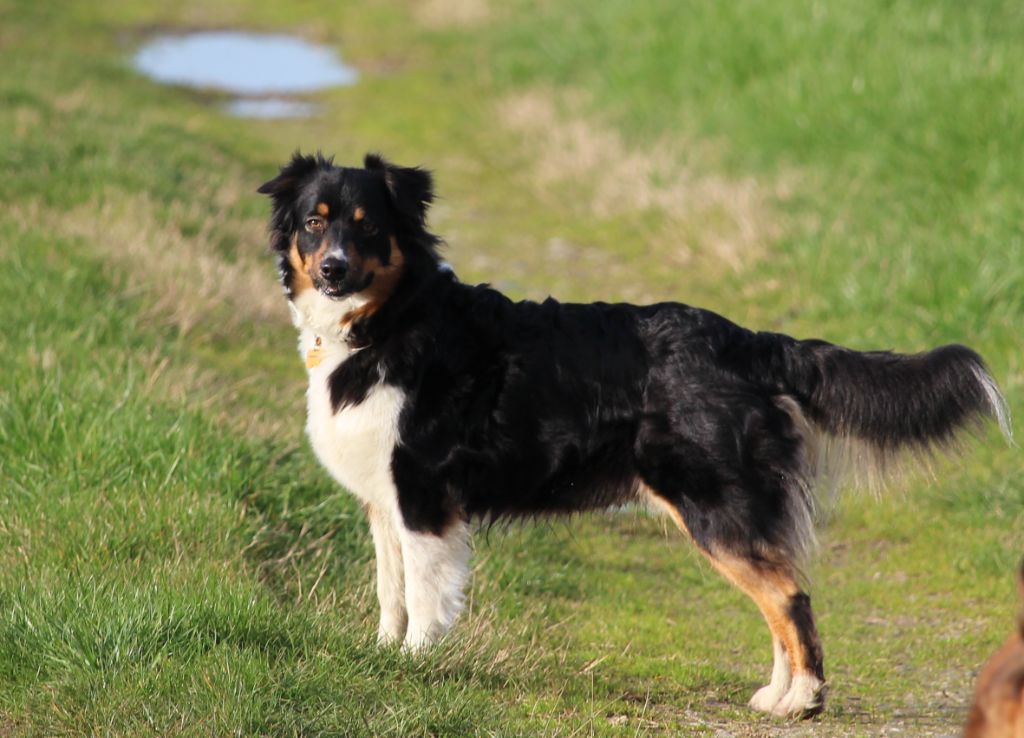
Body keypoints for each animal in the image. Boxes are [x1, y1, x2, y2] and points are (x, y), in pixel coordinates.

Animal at [256, 151, 1007, 720]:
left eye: (368, 228)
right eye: (315, 223)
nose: (333, 268)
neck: (390, 319)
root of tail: (747, 342)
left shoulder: (424, 496)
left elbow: (424, 594)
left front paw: (418, 665)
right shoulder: (385, 501)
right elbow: (391, 592)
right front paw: (384, 655)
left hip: (714, 506)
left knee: (790, 596)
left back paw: (802, 702)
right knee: (780, 592)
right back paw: (775, 695)